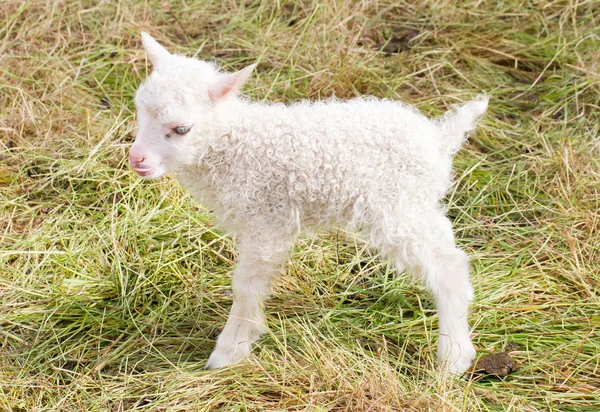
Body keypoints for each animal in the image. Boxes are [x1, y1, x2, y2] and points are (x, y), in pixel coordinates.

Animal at [130, 31, 488, 374]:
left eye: (181, 128)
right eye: (139, 110)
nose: (137, 159)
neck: (234, 143)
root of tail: (439, 138)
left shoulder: (265, 220)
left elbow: (246, 286)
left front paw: (229, 351)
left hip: (397, 206)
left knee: (448, 268)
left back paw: (454, 357)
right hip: (415, 204)